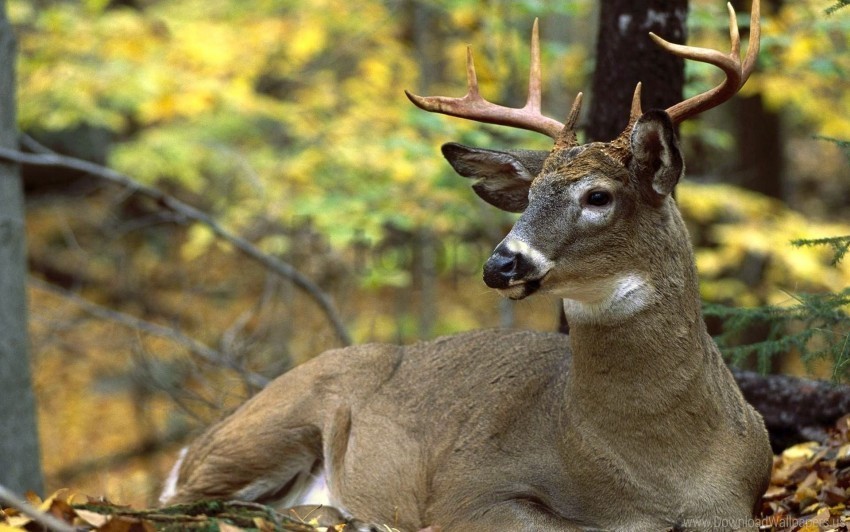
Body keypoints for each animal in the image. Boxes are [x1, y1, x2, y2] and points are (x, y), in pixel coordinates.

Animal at [157, 2, 768, 528]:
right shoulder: (470, 487)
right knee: (179, 504)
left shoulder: (739, 502)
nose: (500, 265)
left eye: (598, 196)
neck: (663, 472)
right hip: (270, 425)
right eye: (529, 196)